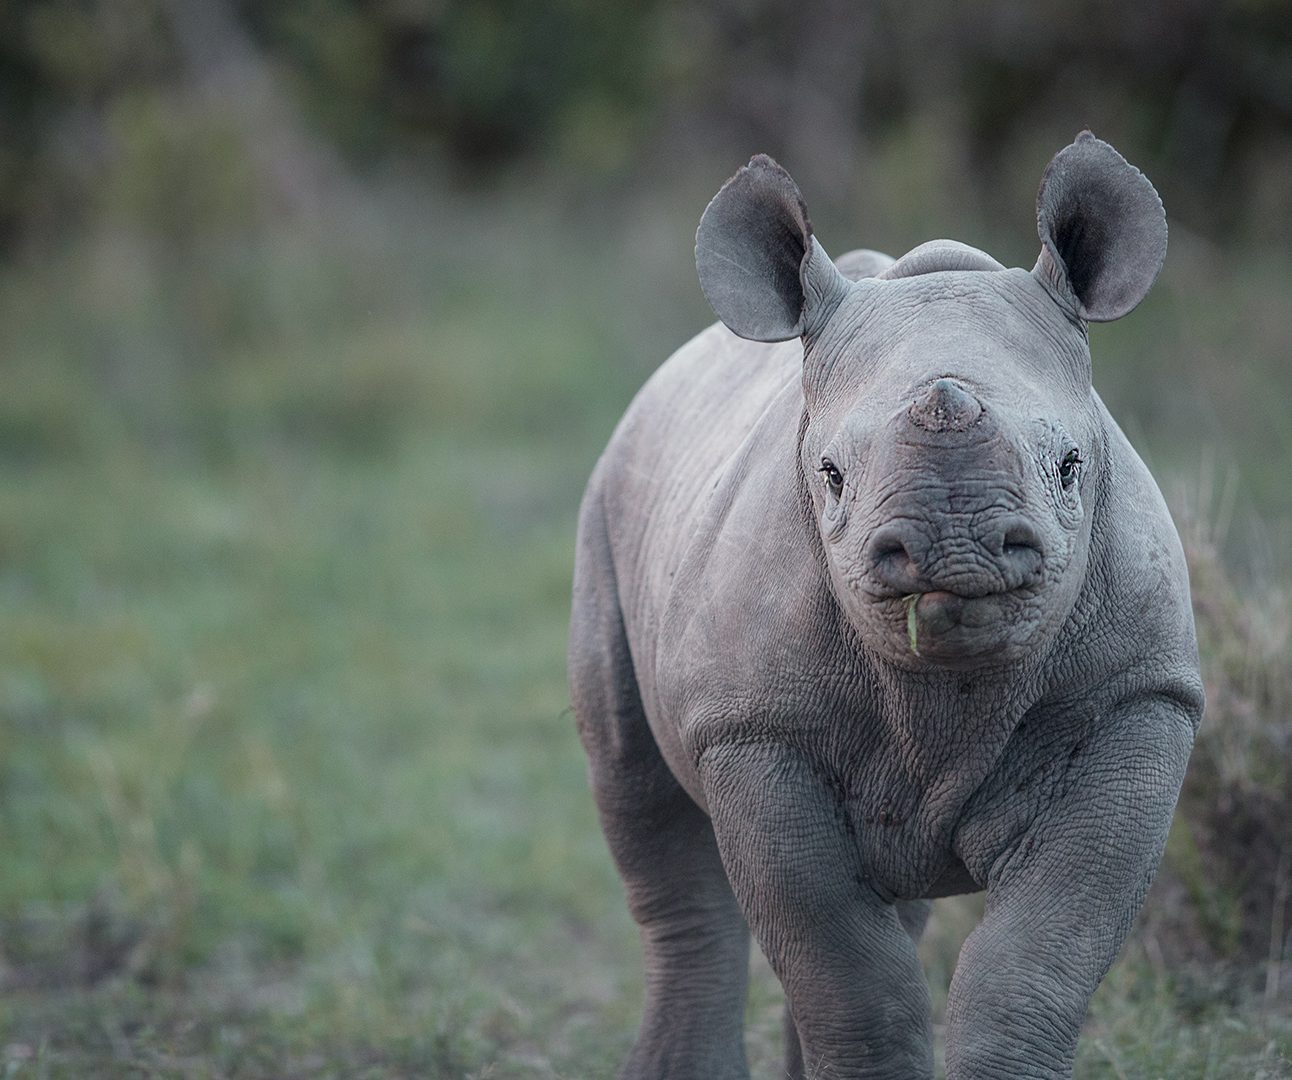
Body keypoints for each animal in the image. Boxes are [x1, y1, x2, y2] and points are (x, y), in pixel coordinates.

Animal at [571, 135, 1204, 1080]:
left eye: (1069, 468)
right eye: (830, 475)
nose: (954, 546)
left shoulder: (1140, 695)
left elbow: (1035, 960)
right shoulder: (751, 729)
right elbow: (848, 977)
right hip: (609, 501)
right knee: (648, 813)